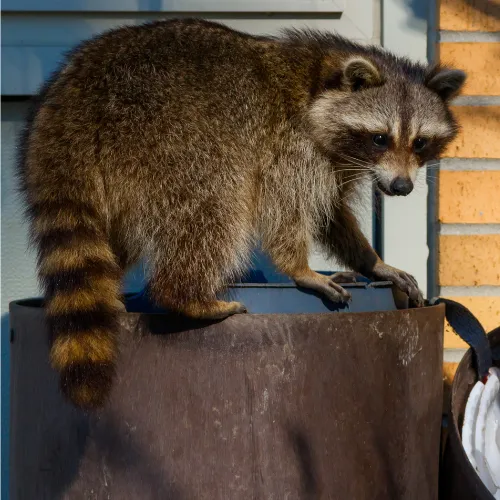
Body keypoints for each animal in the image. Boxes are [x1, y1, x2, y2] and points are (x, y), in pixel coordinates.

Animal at [18, 18, 464, 410]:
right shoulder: (291, 145)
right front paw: (299, 267)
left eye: (420, 142)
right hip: (168, 135)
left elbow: (331, 214)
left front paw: (372, 261)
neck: (322, 81)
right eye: (379, 138)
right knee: (215, 202)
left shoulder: (334, 161)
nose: (401, 187)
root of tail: (72, 100)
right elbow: (286, 207)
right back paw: (186, 296)